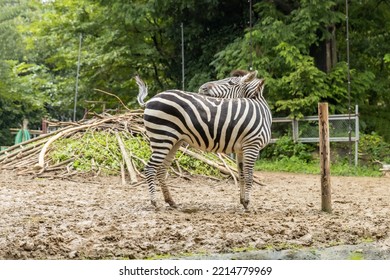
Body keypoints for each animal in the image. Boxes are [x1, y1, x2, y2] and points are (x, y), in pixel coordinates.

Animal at [134, 71, 272, 209]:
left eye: (231, 82)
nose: (202, 88)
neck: (261, 110)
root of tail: (151, 99)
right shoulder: (252, 145)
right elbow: (249, 175)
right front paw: (247, 202)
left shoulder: (242, 149)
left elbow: (242, 174)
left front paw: (243, 201)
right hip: (162, 138)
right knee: (150, 168)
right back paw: (154, 202)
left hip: (173, 141)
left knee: (162, 169)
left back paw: (170, 201)